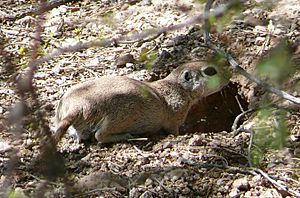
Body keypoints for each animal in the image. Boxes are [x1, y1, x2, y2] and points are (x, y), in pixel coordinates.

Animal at [54, 60, 229, 144]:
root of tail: (78, 105)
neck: (177, 87)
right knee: (99, 136)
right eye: (210, 71)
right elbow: (173, 130)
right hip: (120, 116)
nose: (229, 75)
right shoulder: (176, 114)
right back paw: (125, 136)